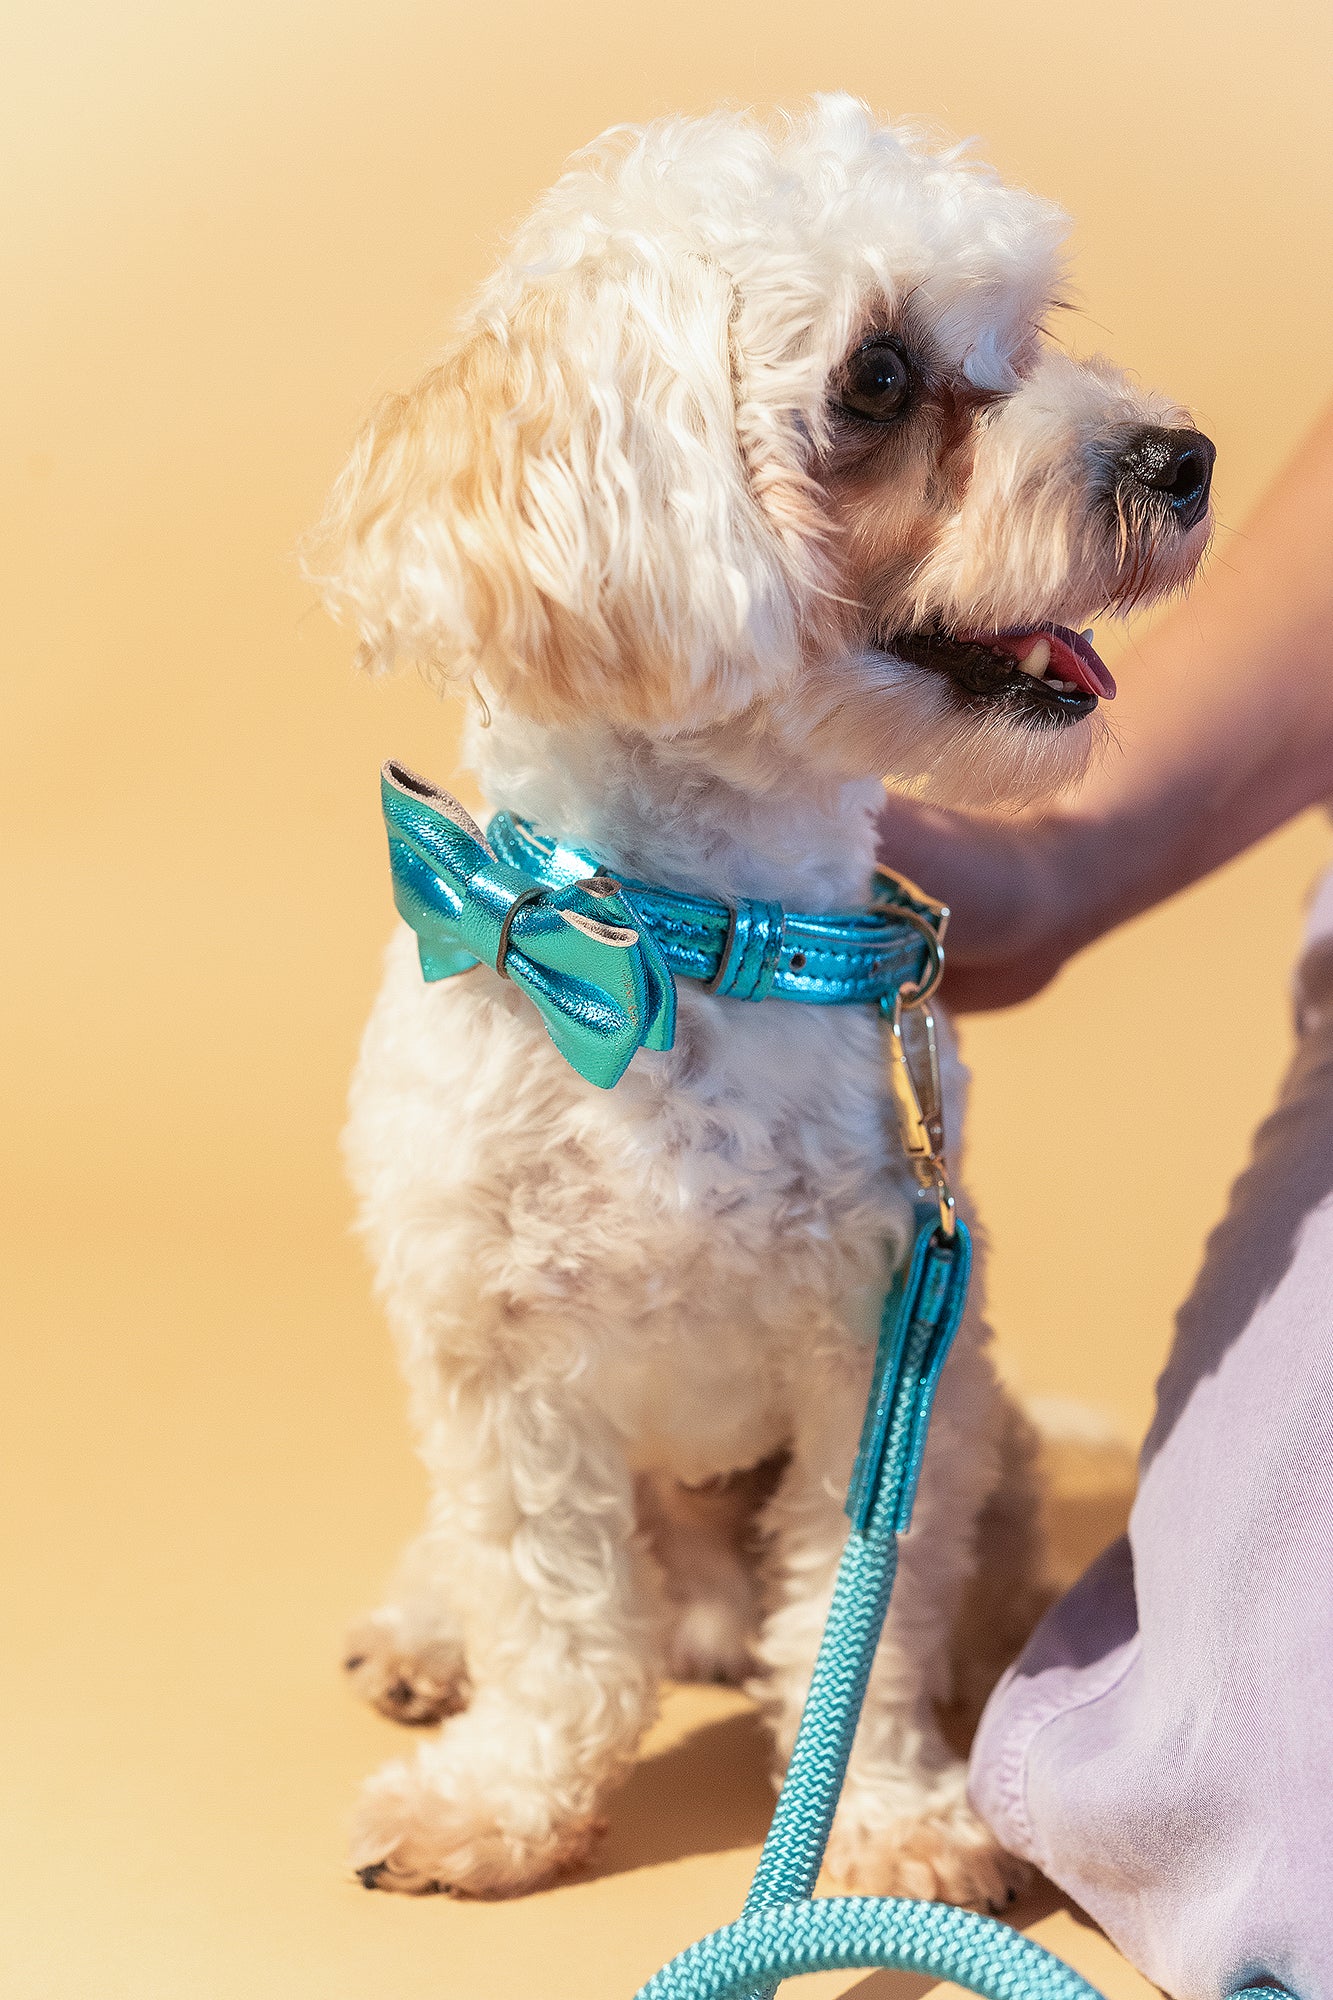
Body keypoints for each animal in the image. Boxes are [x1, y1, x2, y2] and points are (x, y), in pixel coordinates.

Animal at [306, 94, 1208, 1904]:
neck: (686, 948)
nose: (1181, 455)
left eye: (1030, 337)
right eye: (878, 375)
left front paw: (892, 1815)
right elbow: (554, 1622)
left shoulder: (876, 1356)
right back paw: (426, 1634)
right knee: (516, 1578)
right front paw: (497, 1800)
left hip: (975, 1416)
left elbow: (858, 1619)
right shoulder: (496, 1369)